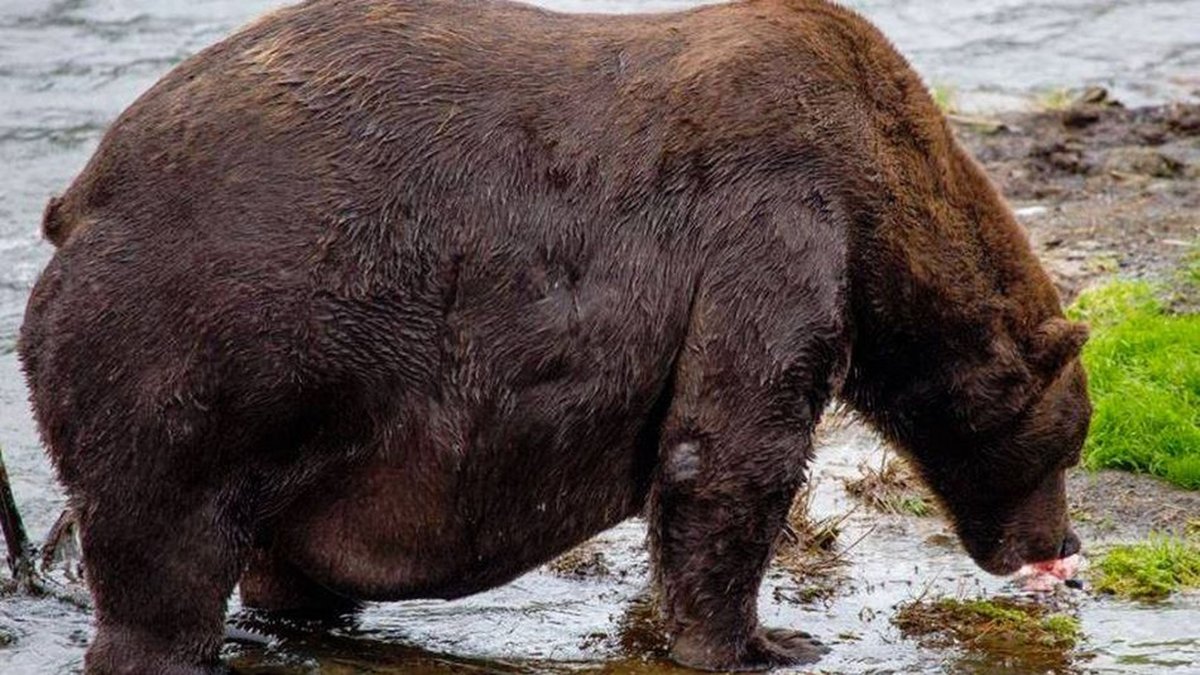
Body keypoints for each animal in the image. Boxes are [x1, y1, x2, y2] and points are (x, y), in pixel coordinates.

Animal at [18, 0, 1090, 672]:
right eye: (1069, 441)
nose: (1064, 542)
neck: (883, 212)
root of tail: (80, 197)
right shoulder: (774, 220)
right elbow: (732, 445)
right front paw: (765, 641)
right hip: (200, 345)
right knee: (164, 551)